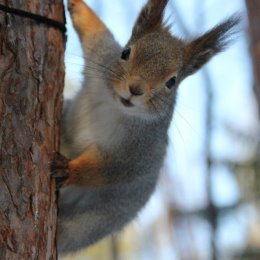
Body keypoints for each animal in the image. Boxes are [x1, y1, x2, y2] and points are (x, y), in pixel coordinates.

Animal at [50, 0, 240, 255]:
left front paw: (69, 170)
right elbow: (97, 33)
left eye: (172, 82)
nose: (135, 89)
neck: (116, 107)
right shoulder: (102, 57)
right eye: (125, 52)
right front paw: (77, 7)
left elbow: (109, 169)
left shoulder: (140, 149)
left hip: (94, 221)